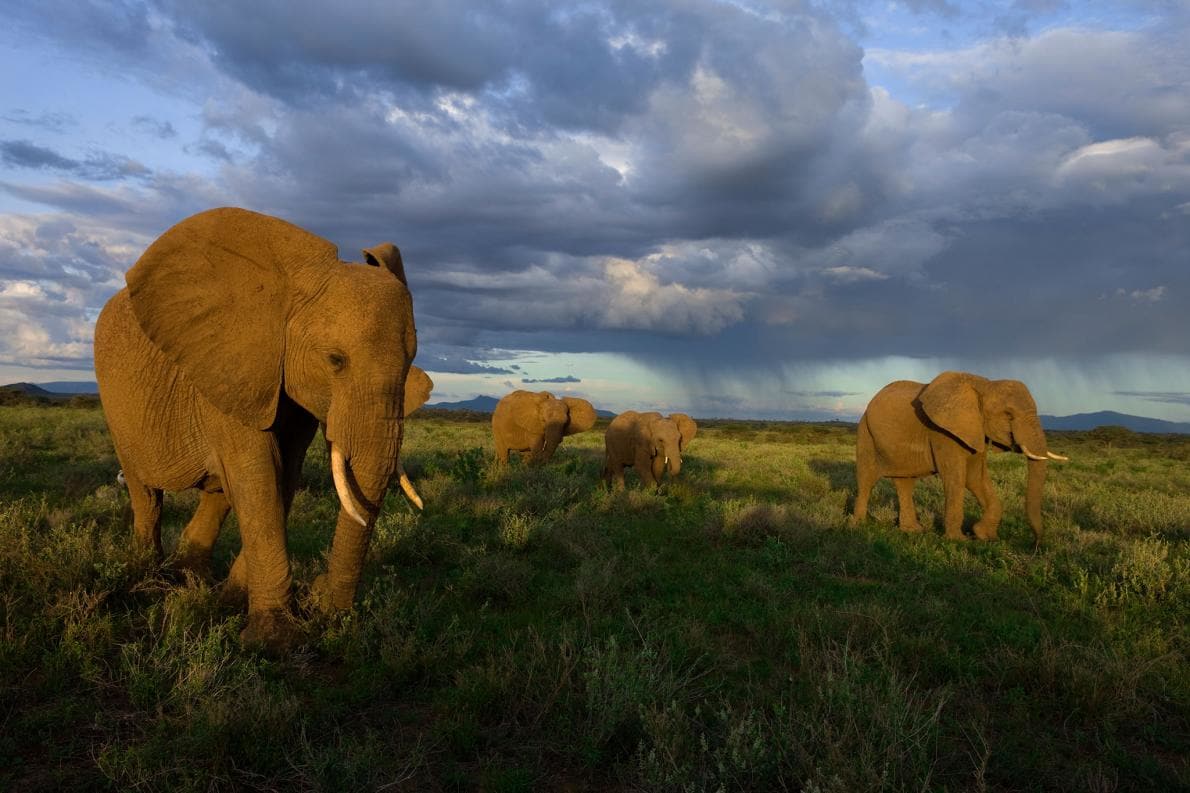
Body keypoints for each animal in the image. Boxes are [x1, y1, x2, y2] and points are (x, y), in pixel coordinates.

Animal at [98, 207, 423, 647]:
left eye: (411, 363)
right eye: (335, 360)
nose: (321, 600)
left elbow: (281, 474)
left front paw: (236, 604)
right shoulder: (231, 366)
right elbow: (259, 474)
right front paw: (273, 640)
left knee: (218, 492)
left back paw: (193, 581)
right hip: (116, 408)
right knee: (145, 492)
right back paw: (148, 579)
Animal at [847, 371, 1071, 542]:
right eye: (1008, 415)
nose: (1036, 545)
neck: (985, 385)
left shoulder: (976, 431)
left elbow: (975, 477)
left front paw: (984, 535)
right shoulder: (942, 432)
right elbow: (956, 477)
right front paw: (959, 540)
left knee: (905, 483)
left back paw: (912, 531)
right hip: (865, 432)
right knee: (866, 479)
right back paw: (858, 526)